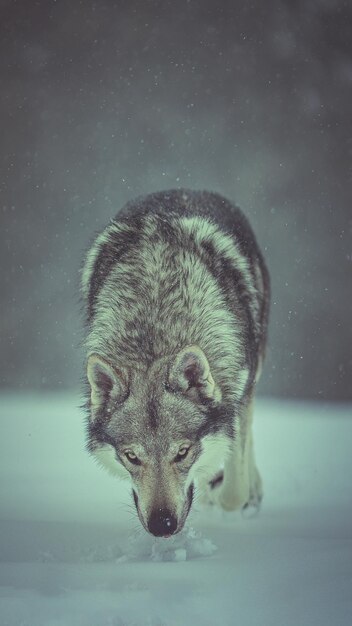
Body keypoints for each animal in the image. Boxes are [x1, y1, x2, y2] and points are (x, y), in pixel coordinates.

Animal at [81, 188, 270, 532]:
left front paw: (222, 490)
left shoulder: (239, 389)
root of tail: (187, 190)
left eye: (182, 452)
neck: (156, 328)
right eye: (132, 457)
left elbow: (232, 489)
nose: (162, 525)